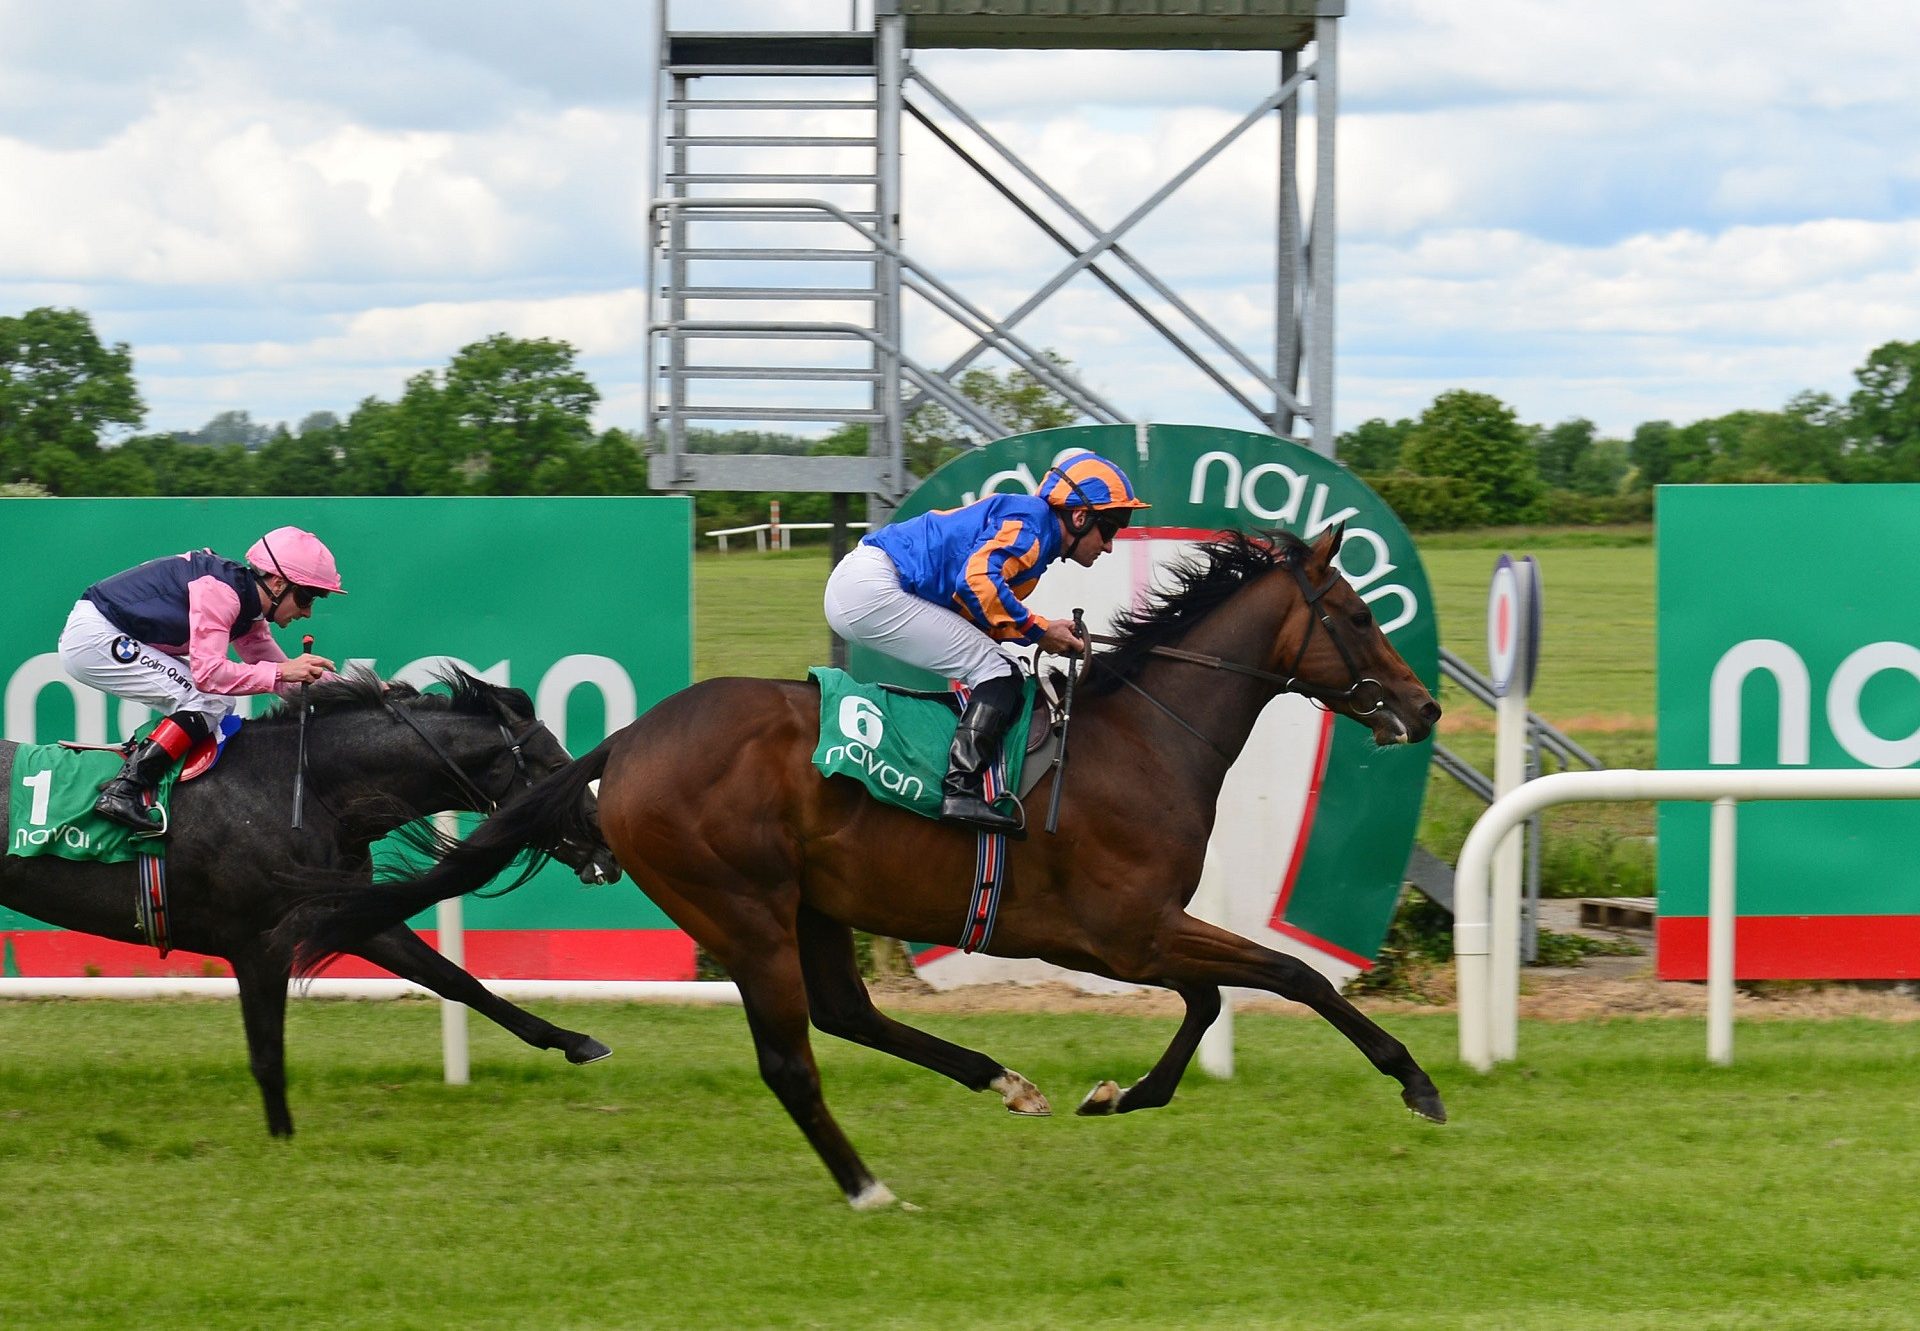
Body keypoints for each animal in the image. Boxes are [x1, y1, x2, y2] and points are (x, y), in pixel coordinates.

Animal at [0, 668, 618, 1137]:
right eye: (556, 767)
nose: (607, 845)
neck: (303, 789)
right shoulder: (259, 944)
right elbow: (267, 1054)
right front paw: (283, 1141)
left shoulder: (348, 912)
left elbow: (456, 979)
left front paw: (576, 1041)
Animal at [284, 526, 1443, 1206]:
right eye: (1355, 613)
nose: (1424, 706)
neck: (1144, 737)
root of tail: (628, 740)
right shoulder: (1126, 930)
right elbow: (1287, 975)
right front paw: (1418, 1080)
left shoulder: (1137, 933)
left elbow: (1214, 999)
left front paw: (1116, 1095)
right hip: (743, 907)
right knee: (793, 1058)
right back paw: (867, 1184)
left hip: (814, 902)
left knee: (847, 1012)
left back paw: (1003, 1081)